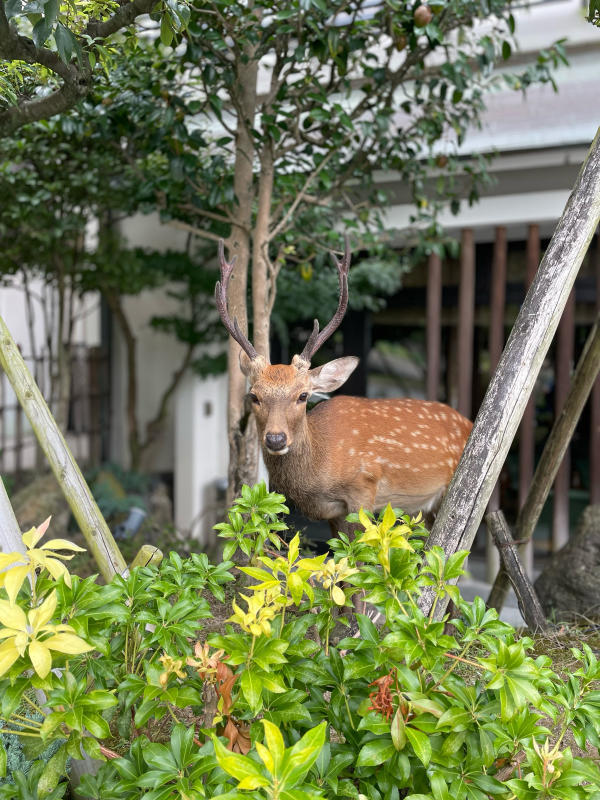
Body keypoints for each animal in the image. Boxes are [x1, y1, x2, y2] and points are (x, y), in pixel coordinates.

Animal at [216, 241, 474, 536]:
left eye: (303, 396)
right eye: (254, 396)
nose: (276, 439)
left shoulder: (364, 486)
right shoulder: (333, 514)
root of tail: (469, 421)